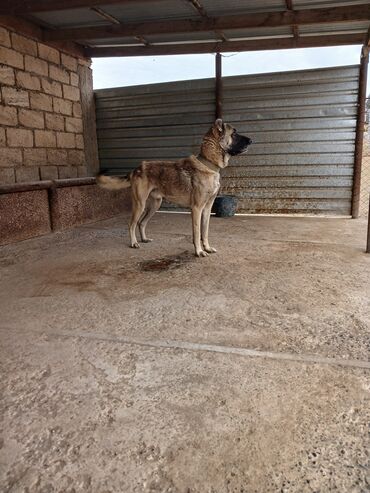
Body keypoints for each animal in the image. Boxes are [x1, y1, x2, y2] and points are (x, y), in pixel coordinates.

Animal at [97, 119, 253, 258]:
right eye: (234, 133)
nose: (252, 140)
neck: (208, 164)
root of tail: (136, 169)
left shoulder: (207, 209)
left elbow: (205, 231)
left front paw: (207, 248)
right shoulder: (196, 209)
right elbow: (197, 233)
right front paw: (199, 251)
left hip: (155, 205)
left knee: (141, 223)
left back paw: (144, 239)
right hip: (139, 204)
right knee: (131, 224)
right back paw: (134, 243)